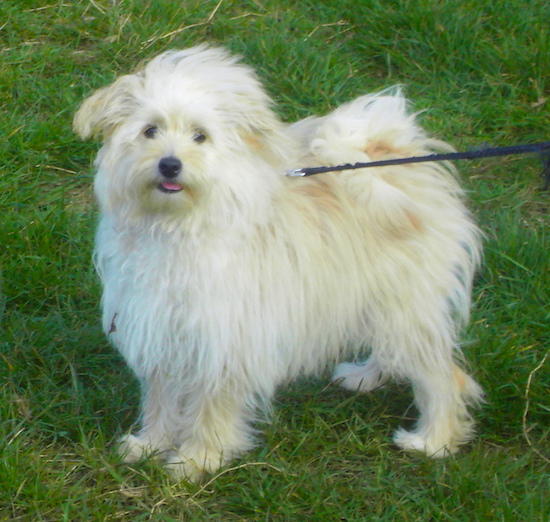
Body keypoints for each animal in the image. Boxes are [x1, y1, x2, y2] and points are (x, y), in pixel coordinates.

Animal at [73, 44, 484, 480]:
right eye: (150, 131)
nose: (170, 164)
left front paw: (198, 459)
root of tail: (395, 156)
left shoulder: (225, 340)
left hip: (407, 307)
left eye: (201, 136)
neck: (182, 222)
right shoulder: (163, 330)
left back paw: (433, 441)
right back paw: (364, 377)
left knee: (444, 376)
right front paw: (151, 444)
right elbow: (162, 398)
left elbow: (212, 407)